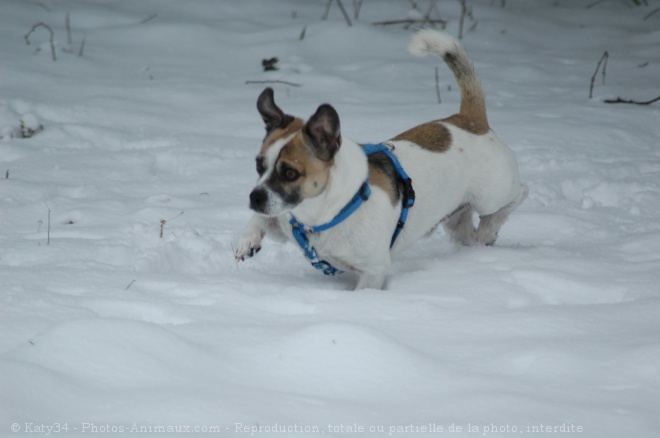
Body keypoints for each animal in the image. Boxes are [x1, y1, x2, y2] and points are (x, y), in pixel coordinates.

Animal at [235, 29, 528, 290]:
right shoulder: (283, 221)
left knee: (518, 195)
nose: (253, 197)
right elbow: (263, 220)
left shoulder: (373, 271)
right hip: (456, 219)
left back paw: (490, 228)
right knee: (466, 232)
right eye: (259, 164)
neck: (326, 213)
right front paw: (247, 239)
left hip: (492, 194)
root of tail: (470, 119)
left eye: (290, 173)